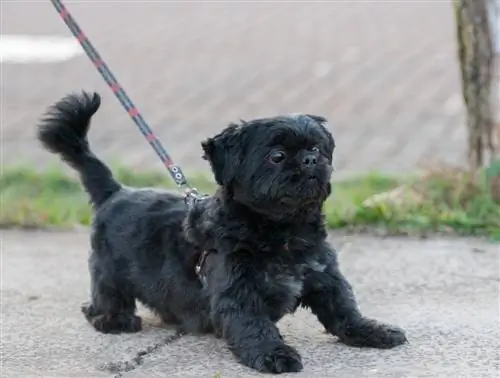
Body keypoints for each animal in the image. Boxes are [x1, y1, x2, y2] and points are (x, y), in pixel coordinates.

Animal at [38, 91, 406, 372]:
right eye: (277, 156)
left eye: (316, 149)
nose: (311, 161)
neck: (283, 231)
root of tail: (115, 191)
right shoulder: (238, 291)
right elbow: (254, 326)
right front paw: (274, 354)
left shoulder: (325, 277)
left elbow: (344, 309)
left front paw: (371, 330)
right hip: (108, 271)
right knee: (103, 297)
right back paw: (112, 319)